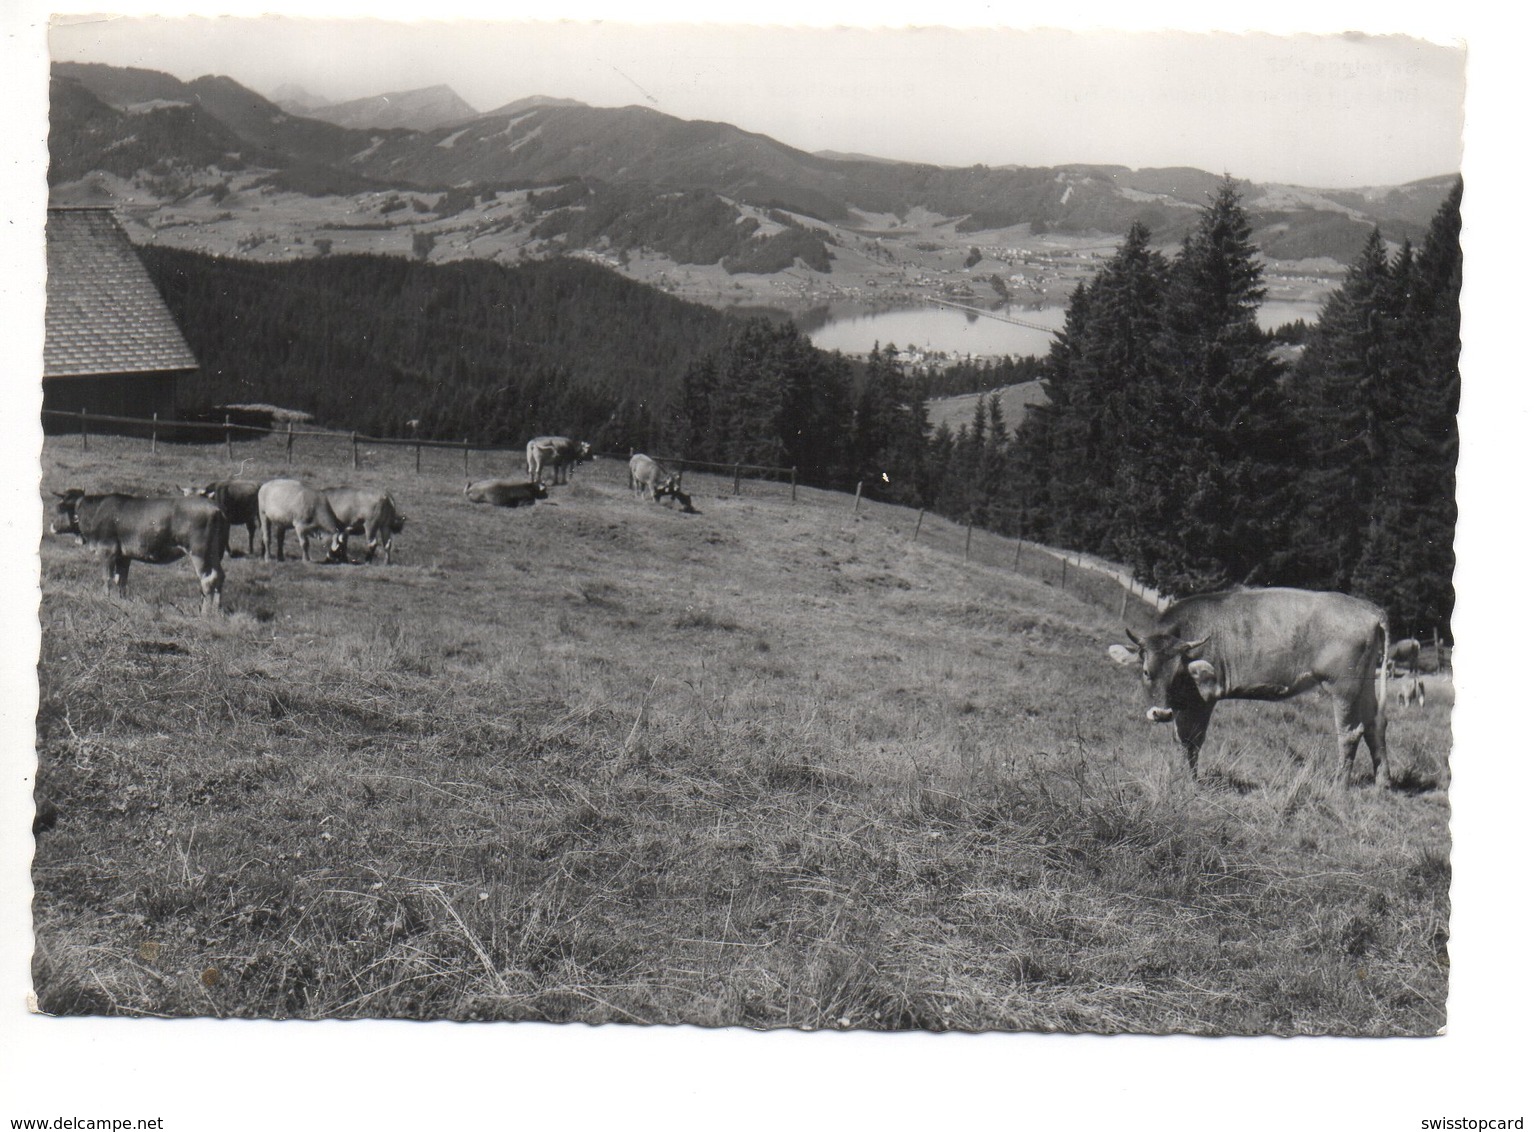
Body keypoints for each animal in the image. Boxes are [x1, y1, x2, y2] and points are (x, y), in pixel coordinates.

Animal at [49, 487, 227, 616]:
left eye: (60, 507)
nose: (51, 526)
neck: (95, 512)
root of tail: (216, 508)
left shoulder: (107, 551)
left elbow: (107, 578)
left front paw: (106, 598)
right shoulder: (124, 556)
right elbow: (121, 580)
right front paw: (122, 601)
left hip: (200, 553)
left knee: (208, 579)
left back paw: (205, 614)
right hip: (215, 554)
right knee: (220, 576)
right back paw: (217, 610)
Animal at [1110, 585, 1399, 779]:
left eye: (1178, 673)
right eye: (1146, 671)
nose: (1160, 713)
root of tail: (1369, 609)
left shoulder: (1205, 697)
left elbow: (1193, 739)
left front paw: (1190, 780)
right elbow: (1179, 738)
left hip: (1343, 686)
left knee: (1350, 732)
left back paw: (1339, 785)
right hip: (1365, 683)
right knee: (1375, 724)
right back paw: (1382, 782)